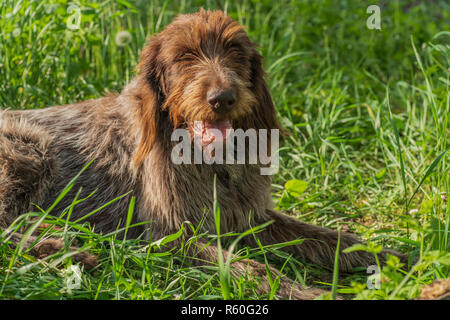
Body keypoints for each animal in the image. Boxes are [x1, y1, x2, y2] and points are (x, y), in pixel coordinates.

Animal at [0, 10, 404, 300]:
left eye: (235, 53)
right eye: (184, 57)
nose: (222, 98)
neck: (210, 161)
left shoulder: (250, 216)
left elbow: (328, 236)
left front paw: (388, 257)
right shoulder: (170, 235)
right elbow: (252, 268)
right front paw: (304, 291)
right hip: (30, 151)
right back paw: (63, 248)